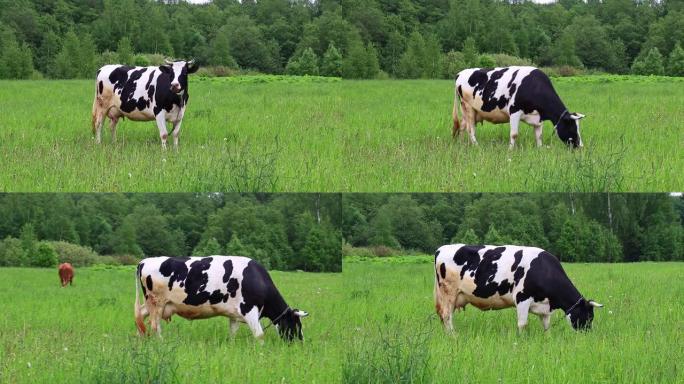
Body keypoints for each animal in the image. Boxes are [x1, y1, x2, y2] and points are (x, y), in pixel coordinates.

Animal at [134, 255, 310, 342]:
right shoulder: (249, 309)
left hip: (152, 304)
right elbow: (259, 334)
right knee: (155, 326)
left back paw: (142, 339)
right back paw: (160, 342)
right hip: (157, 303)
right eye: (296, 325)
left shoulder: (235, 314)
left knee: (140, 317)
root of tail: (144, 261)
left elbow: (232, 333)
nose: (299, 343)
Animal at [436, 244, 600, 332]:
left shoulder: (545, 307)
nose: (587, 334)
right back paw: (453, 336)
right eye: (589, 316)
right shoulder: (522, 298)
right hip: (448, 293)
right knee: (446, 316)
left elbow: (546, 326)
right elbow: (522, 324)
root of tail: (441, 249)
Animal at [452, 67, 584, 148]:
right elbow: (514, 134)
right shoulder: (514, 111)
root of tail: (460, 73)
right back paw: (476, 145)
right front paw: (510, 150)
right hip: (468, 107)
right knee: (470, 129)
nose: (581, 146)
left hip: (467, 111)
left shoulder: (538, 117)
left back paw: (461, 144)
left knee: (462, 127)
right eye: (572, 128)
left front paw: (540, 149)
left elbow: (539, 135)